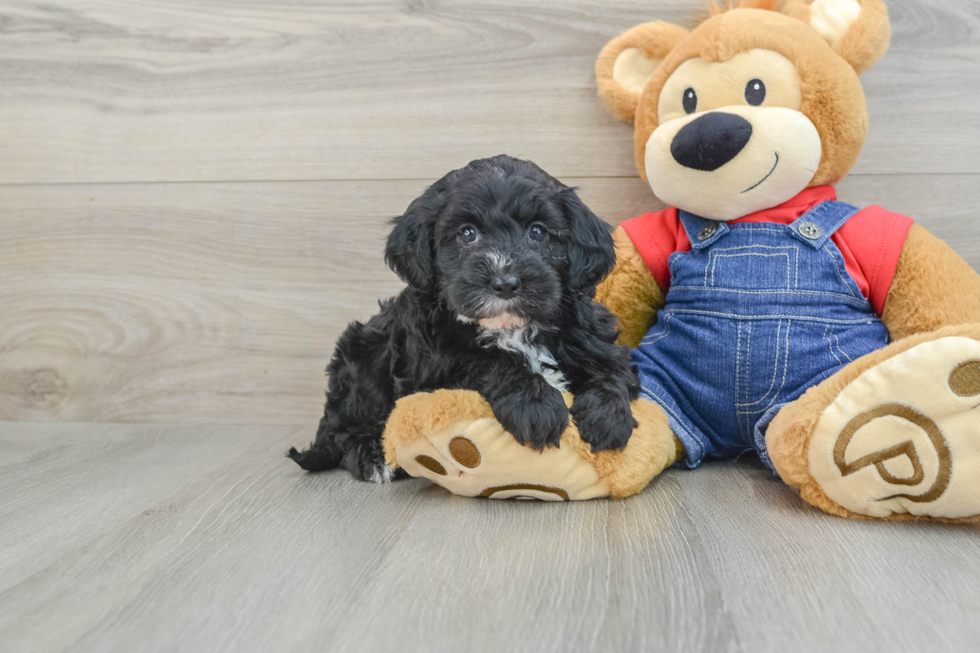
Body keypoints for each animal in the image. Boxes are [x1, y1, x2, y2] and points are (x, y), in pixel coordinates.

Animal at [288, 153, 640, 478]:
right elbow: (487, 361)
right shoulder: (432, 371)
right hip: (363, 353)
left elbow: (612, 369)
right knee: (341, 428)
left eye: (538, 232)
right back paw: (370, 455)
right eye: (467, 233)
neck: (512, 328)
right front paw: (536, 405)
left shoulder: (593, 337)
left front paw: (608, 415)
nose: (505, 282)